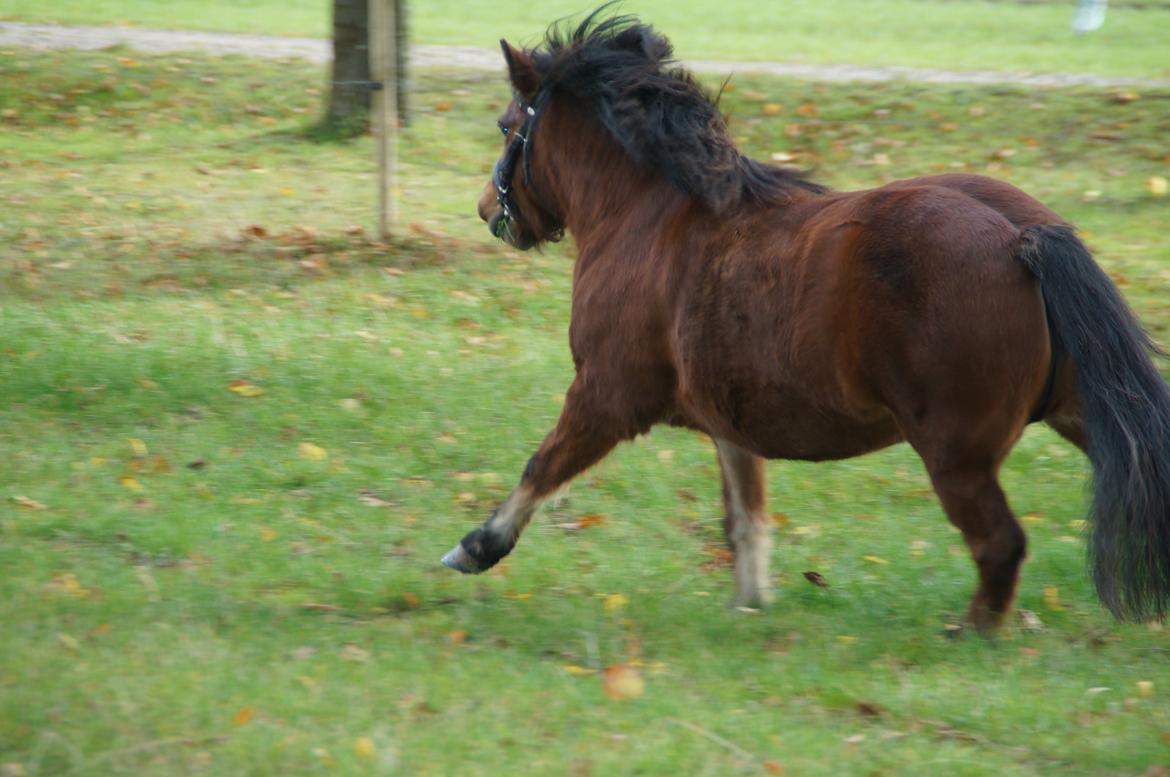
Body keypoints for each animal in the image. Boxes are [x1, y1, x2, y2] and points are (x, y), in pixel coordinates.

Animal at [439, 9, 1170, 636]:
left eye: (507, 125)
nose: (485, 209)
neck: (647, 217)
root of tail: (1025, 236)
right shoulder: (726, 423)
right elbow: (745, 518)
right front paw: (750, 606)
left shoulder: (608, 395)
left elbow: (542, 465)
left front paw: (476, 547)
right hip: (1077, 411)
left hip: (956, 453)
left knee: (1000, 543)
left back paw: (972, 633)